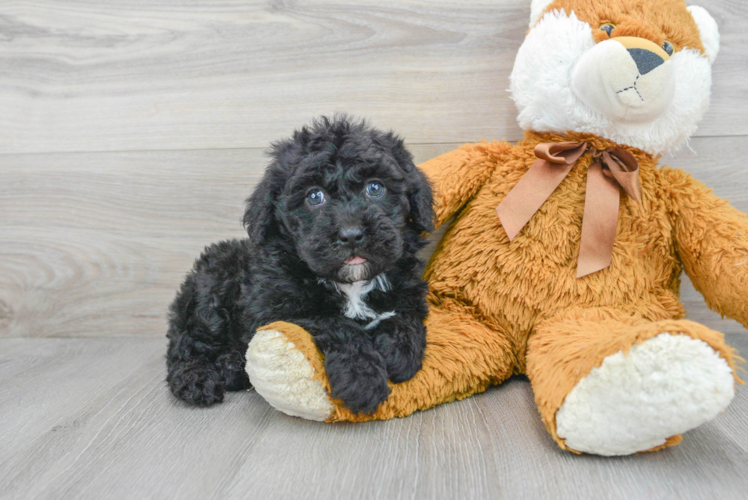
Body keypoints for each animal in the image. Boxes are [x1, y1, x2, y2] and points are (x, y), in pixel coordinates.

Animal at [164, 114, 432, 414]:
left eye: (375, 188)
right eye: (314, 196)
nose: (351, 234)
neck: (349, 282)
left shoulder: (408, 289)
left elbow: (406, 315)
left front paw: (398, 352)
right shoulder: (275, 310)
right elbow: (334, 323)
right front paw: (361, 377)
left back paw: (231, 366)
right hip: (213, 286)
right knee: (186, 344)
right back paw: (196, 379)